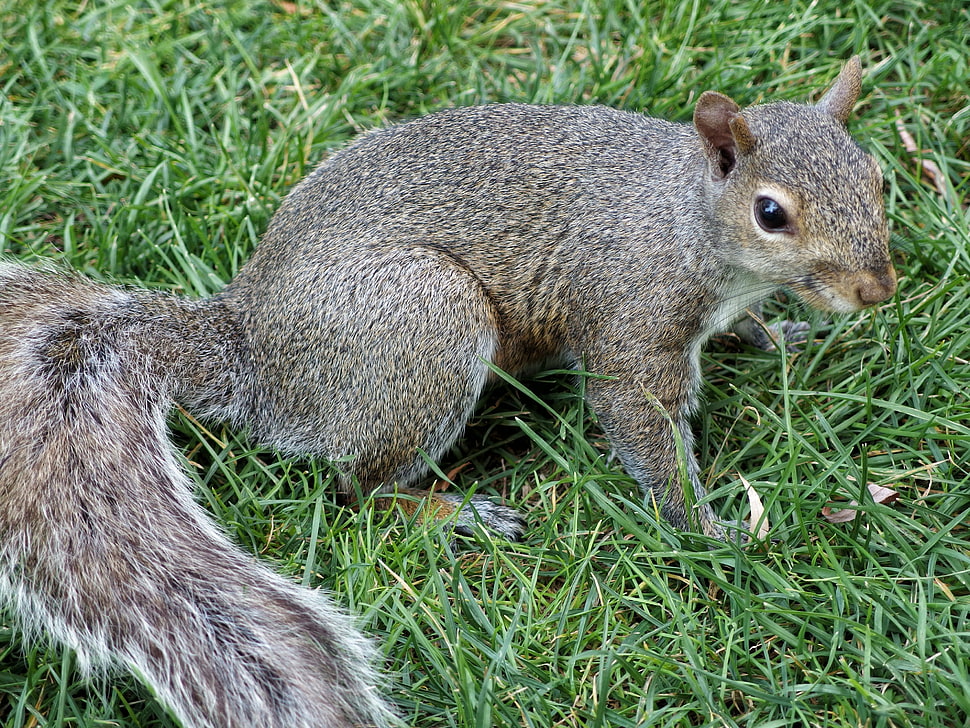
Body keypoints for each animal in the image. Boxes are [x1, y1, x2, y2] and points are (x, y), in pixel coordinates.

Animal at [0, 57, 895, 728]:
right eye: (771, 213)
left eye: (877, 177)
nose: (877, 290)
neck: (684, 219)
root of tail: (253, 352)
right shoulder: (632, 321)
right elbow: (642, 426)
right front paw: (711, 531)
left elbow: (744, 331)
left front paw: (780, 339)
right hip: (426, 325)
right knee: (359, 488)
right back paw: (454, 513)